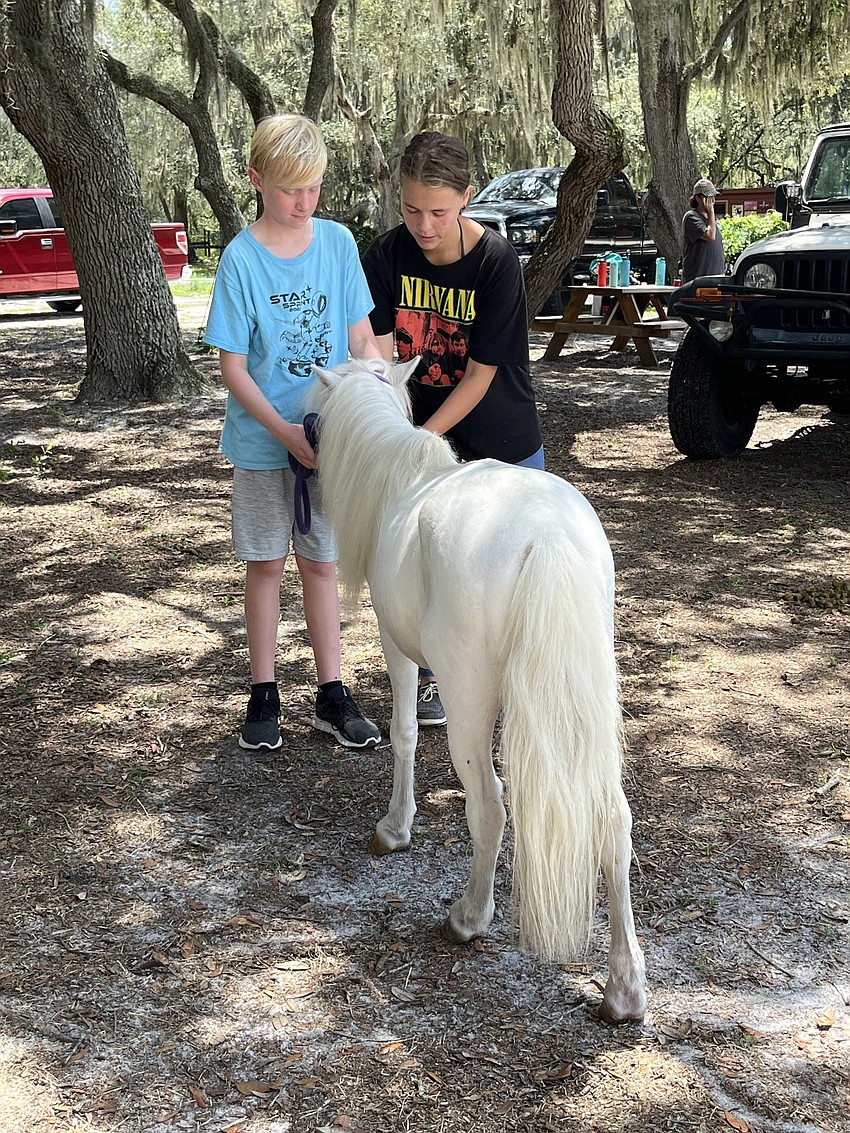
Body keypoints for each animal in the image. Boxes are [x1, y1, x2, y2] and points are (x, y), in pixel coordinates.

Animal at [308, 358, 647, 1024]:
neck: (402, 479)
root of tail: (545, 534)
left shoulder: (395, 646)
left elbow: (404, 734)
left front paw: (394, 829)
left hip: (471, 703)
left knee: (490, 805)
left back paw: (468, 918)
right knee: (613, 821)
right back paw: (623, 989)